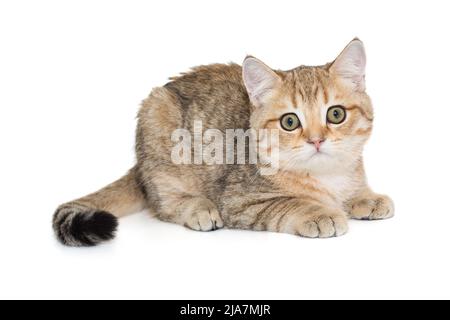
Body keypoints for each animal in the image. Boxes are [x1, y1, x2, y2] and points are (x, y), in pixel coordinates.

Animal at [53, 38, 394, 246]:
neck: (327, 177)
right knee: (163, 204)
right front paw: (319, 212)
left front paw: (366, 197)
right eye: (290, 122)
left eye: (335, 114)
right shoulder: (240, 202)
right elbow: (289, 202)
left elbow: (354, 189)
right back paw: (198, 208)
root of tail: (140, 165)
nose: (317, 140)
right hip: (158, 122)